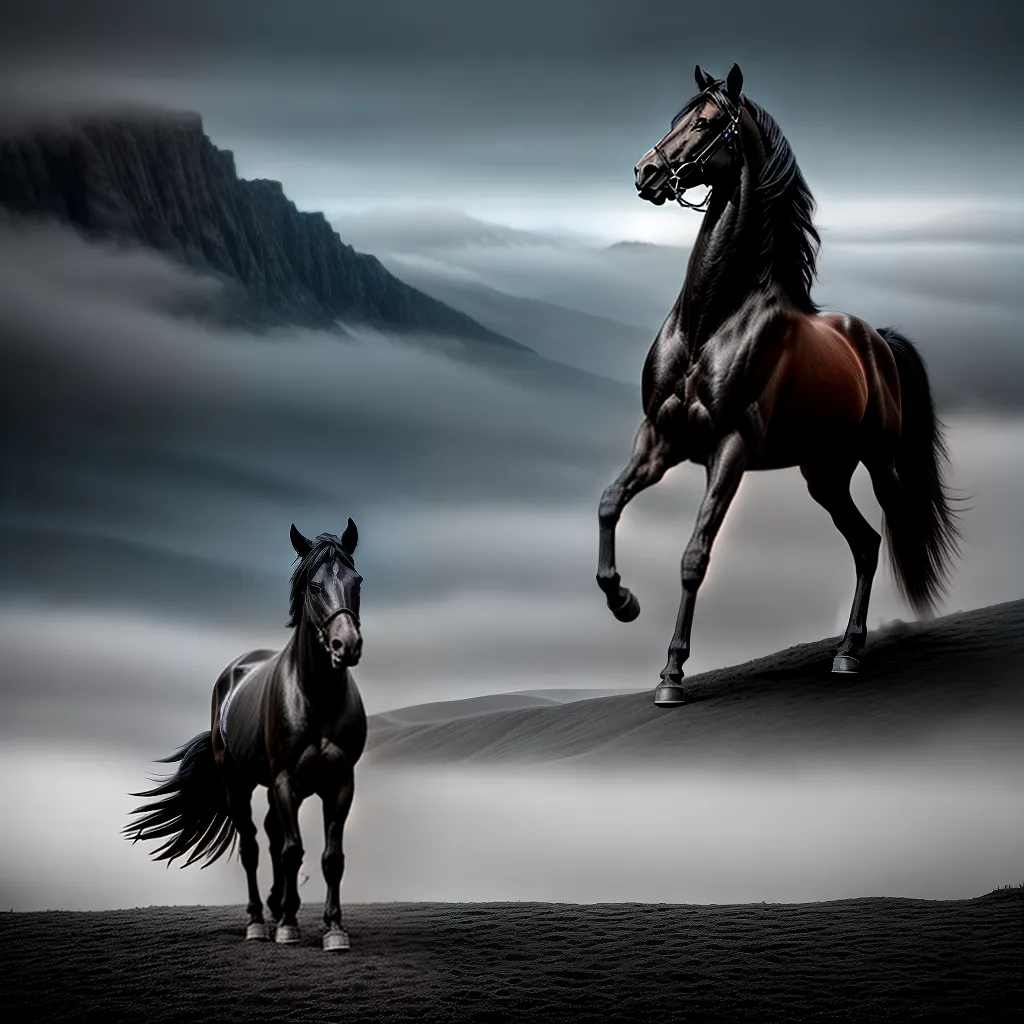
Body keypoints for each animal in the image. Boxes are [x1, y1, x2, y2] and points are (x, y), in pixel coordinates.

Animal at [124, 520, 367, 951]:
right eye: (314, 586)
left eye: (357, 581)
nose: (347, 645)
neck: (316, 697)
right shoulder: (286, 781)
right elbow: (292, 850)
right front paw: (288, 926)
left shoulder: (340, 782)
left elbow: (330, 857)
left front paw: (333, 929)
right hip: (238, 784)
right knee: (254, 846)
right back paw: (258, 920)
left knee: (270, 838)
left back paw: (275, 907)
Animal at [596, 63, 961, 708]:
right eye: (676, 118)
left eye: (706, 122)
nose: (646, 173)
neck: (711, 320)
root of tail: (876, 342)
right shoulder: (659, 439)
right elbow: (610, 503)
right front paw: (623, 602)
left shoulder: (731, 449)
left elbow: (695, 555)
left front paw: (672, 675)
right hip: (823, 473)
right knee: (865, 542)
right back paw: (845, 652)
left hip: (879, 462)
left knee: (892, 531)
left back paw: (858, 649)